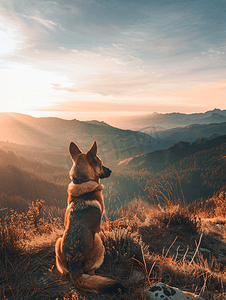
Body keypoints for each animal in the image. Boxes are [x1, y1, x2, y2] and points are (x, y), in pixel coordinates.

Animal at [55, 141, 123, 292]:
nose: (111, 171)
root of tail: (74, 262)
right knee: (92, 271)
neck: (81, 181)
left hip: (58, 241)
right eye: (100, 163)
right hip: (98, 241)